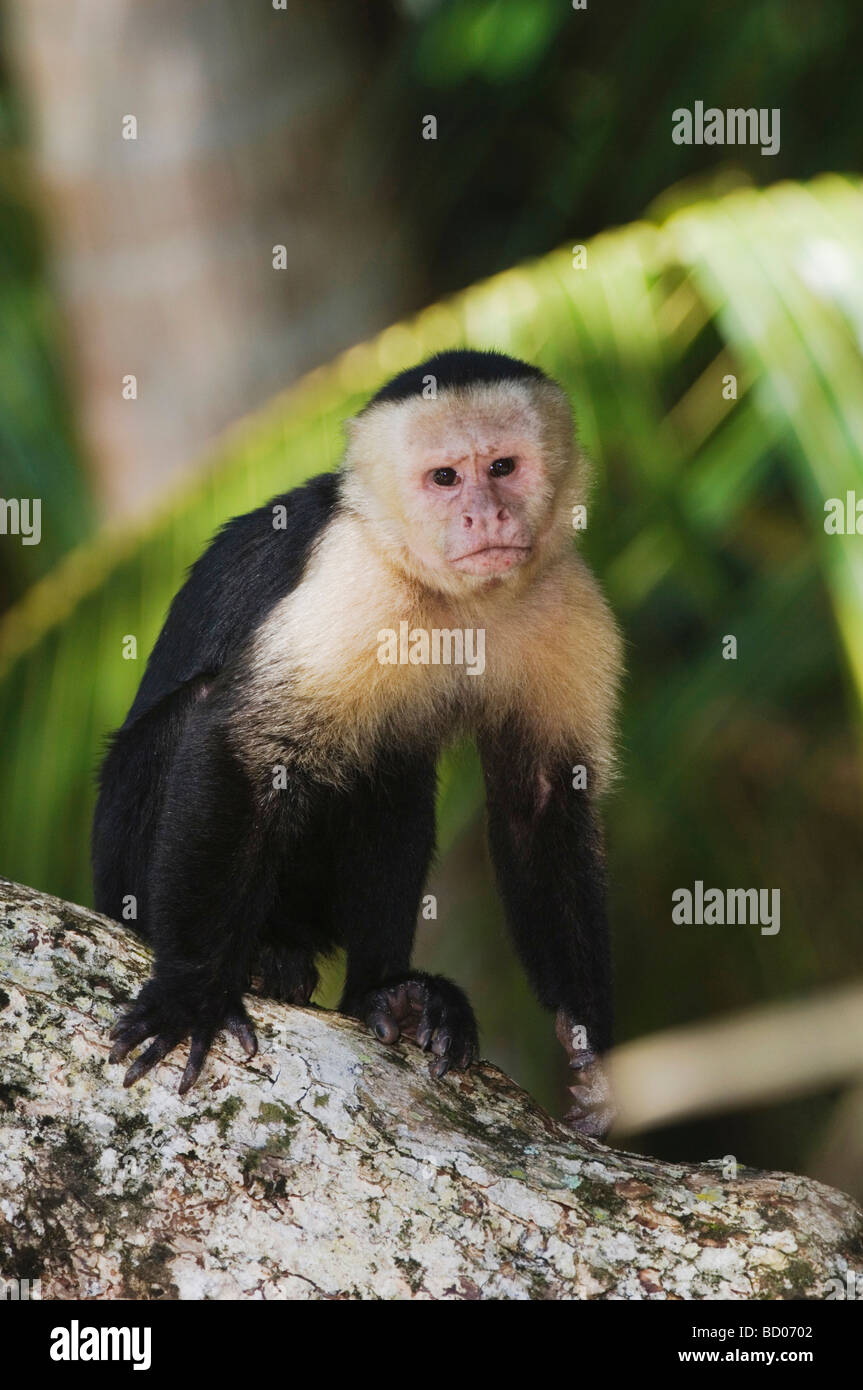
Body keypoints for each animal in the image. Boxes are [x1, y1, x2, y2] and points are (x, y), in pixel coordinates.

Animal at [92, 350, 619, 1139]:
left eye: (502, 467)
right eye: (444, 478)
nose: (485, 514)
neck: (455, 596)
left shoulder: (567, 596)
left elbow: (543, 802)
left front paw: (585, 1042)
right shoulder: (352, 577)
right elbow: (246, 748)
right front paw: (190, 994)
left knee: (392, 775)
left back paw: (387, 995)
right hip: (121, 868)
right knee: (207, 712)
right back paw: (260, 960)